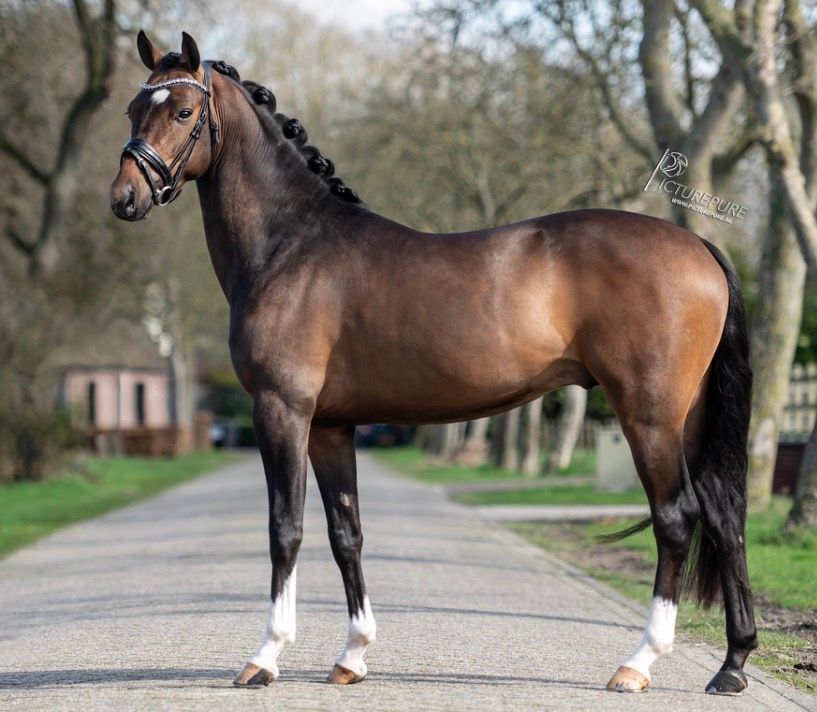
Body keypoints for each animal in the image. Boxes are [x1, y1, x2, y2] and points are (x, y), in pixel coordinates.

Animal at [110, 31, 757, 696]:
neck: (292, 245)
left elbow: (284, 529)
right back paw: (732, 665)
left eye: (183, 111)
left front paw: (265, 656)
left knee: (676, 518)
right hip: (689, 415)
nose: (125, 199)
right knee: (724, 514)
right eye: (134, 110)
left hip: (649, 415)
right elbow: (346, 534)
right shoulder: (331, 427)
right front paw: (352, 656)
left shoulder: (281, 411)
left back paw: (639, 662)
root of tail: (699, 245)